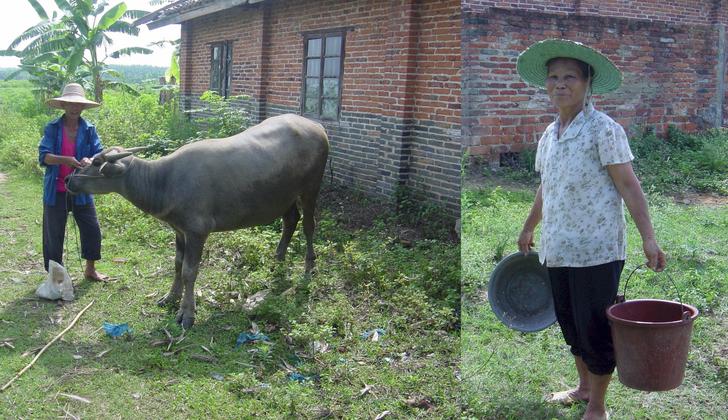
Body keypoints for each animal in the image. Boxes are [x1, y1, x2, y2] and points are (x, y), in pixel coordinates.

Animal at [67, 114, 328, 328]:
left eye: (97, 163)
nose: (70, 180)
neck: (165, 181)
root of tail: (317, 126)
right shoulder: (179, 231)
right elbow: (177, 264)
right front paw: (170, 297)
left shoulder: (197, 232)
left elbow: (189, 271)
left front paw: (187, 313)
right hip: (285, 195)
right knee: (290, 220)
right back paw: (278, 261)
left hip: (311, 188)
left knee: (308, 226)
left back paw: (308, 268)